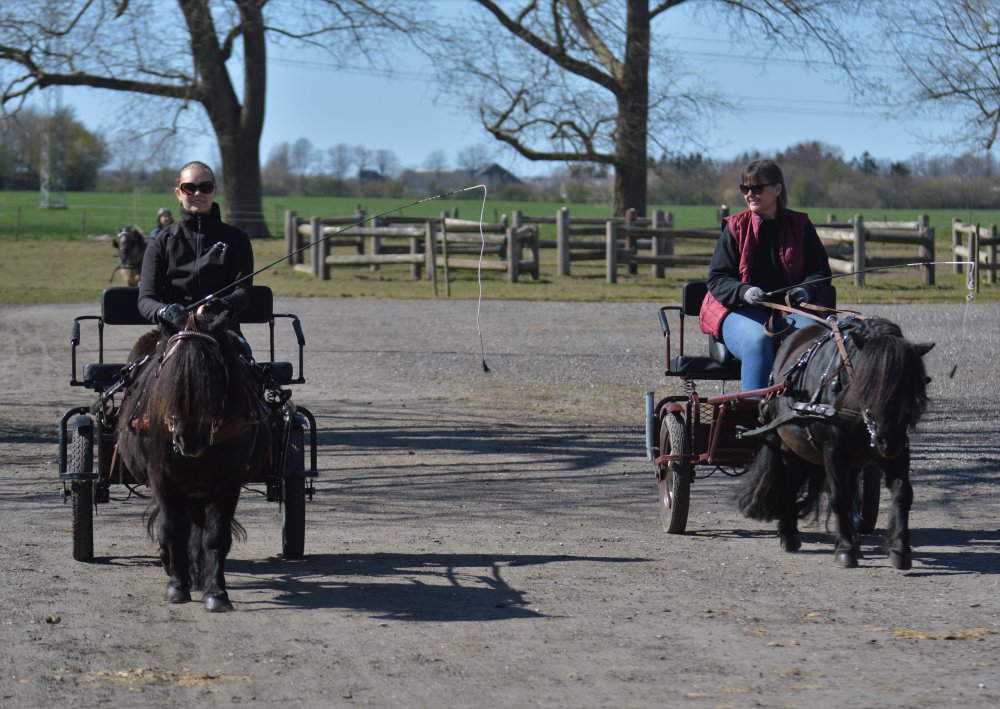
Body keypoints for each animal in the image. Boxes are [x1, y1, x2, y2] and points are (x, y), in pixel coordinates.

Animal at [116, 309, 271, 611]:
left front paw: (217, 593)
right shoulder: (163, 479)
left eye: (214, 371)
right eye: (170, 370)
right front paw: (177, 586)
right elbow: (173, 529)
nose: (190, 437)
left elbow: (215, 535)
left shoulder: (228, 482)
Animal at [738, 316, 933, 569]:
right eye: (869, 382)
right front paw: (844, 549)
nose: (888, 441)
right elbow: (839, 496)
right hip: (791, 448)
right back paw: (790, 535)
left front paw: (899, 550)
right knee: (791, 483)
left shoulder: (898, 450)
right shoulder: (833, 451)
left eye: (912, 386)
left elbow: (902, 493)